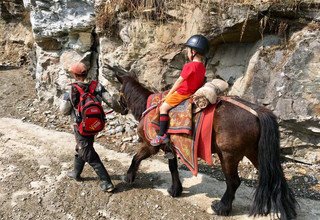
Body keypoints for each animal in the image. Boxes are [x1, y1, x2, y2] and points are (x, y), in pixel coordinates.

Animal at [110, 68, 298, 219]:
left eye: (119, 90)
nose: (118, 107)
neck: (146, 107)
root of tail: (256, 111)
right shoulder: (171, 148)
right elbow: (173, 168)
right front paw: (175, 189)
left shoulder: (151, 145)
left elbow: (136, 157)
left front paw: (128, 177)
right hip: (255, 153)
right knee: (273, 177)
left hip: (229, 156)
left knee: (234, 182)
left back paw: (221, 207)